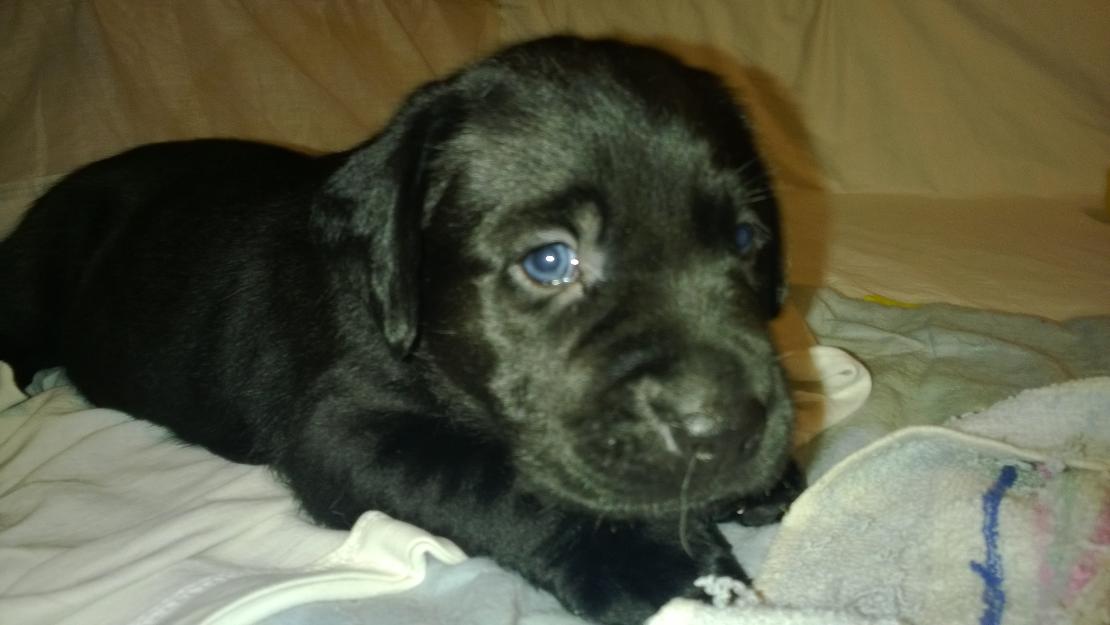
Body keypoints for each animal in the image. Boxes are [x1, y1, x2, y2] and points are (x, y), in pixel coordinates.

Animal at [0, 36, 799, 621]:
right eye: (548, 261)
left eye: (744, 239)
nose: (728, 431)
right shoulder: (343, 430)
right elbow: (494, 477)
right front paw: (656, 559)